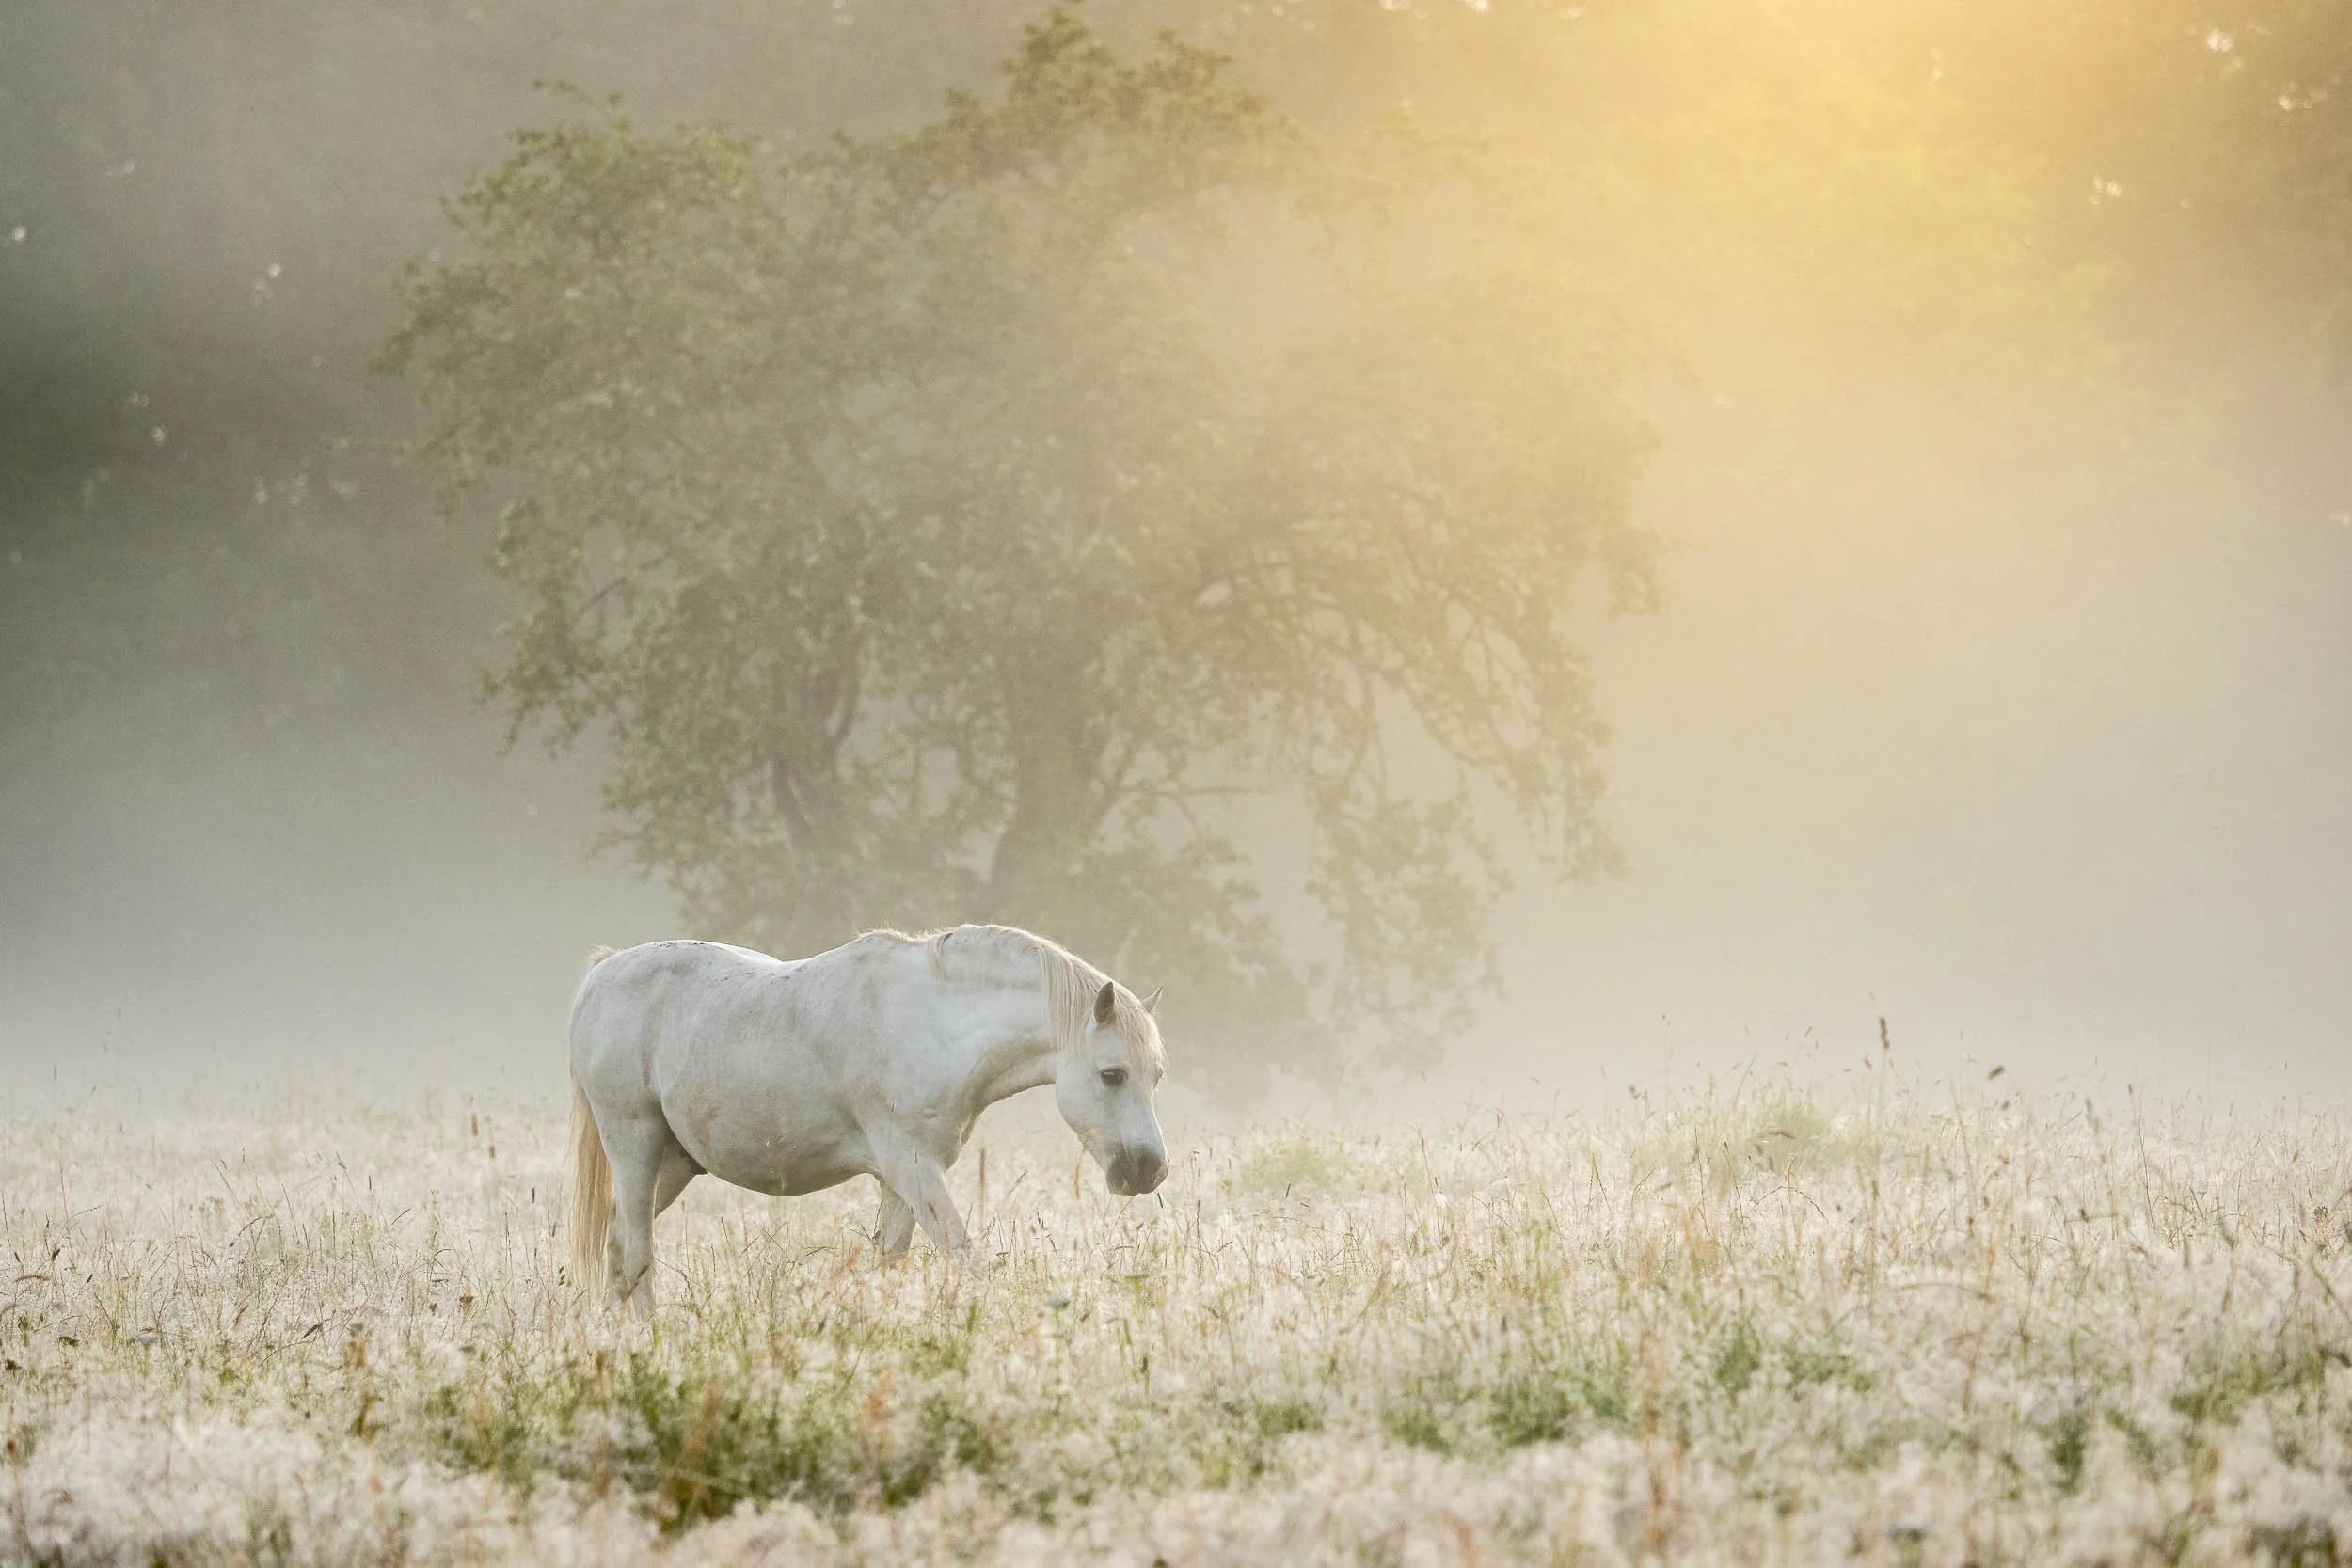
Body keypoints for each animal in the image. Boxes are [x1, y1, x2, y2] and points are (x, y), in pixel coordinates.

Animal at [565, 923, 1168, 1314]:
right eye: (1112, 1074)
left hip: (674, 1164)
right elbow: (962, 1256)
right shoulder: (914, 1169)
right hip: (634, 1146)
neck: (933, 1025)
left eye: (1156, 1075)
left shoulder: (901, 1182)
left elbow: (889, 1266)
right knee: (637, 1252)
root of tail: (602, 973)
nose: (1150, 1170)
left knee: (617, 1245)